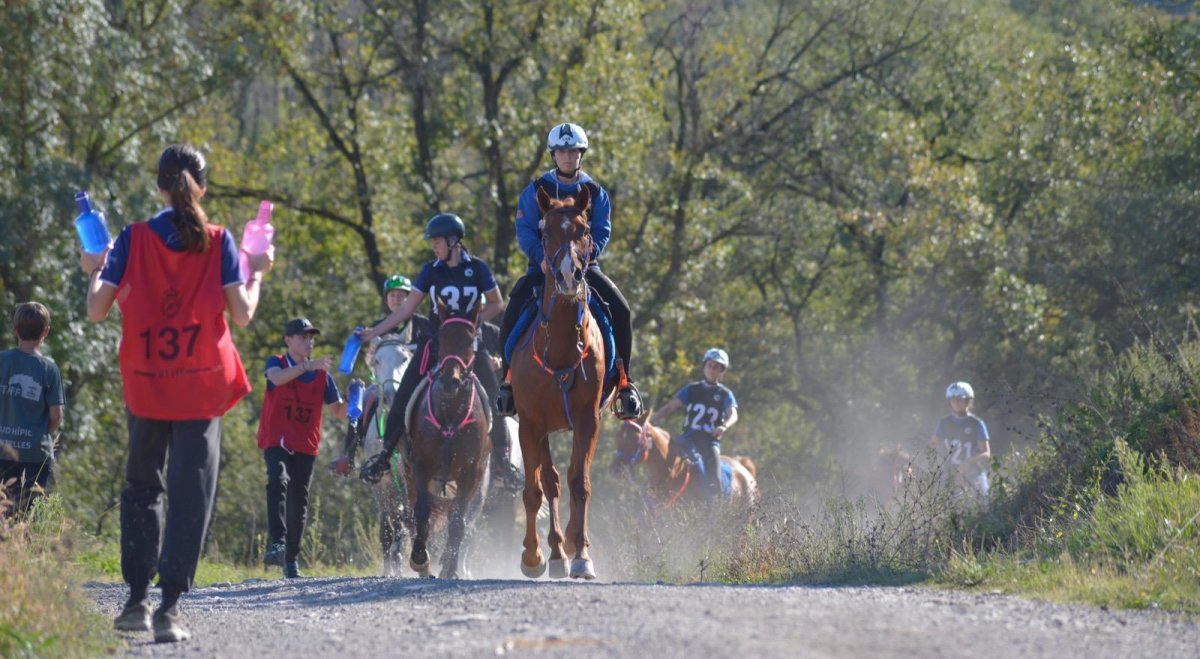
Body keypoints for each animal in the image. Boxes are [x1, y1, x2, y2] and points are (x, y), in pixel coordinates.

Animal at [405, 300, 489, 578]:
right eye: (441, 337)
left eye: (471, 339)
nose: (451, 381)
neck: (451, 413)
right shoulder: (420, 466)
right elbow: (422, 511)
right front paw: (420, 559)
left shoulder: (470, 474)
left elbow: (458, 519)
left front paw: (450, 568)